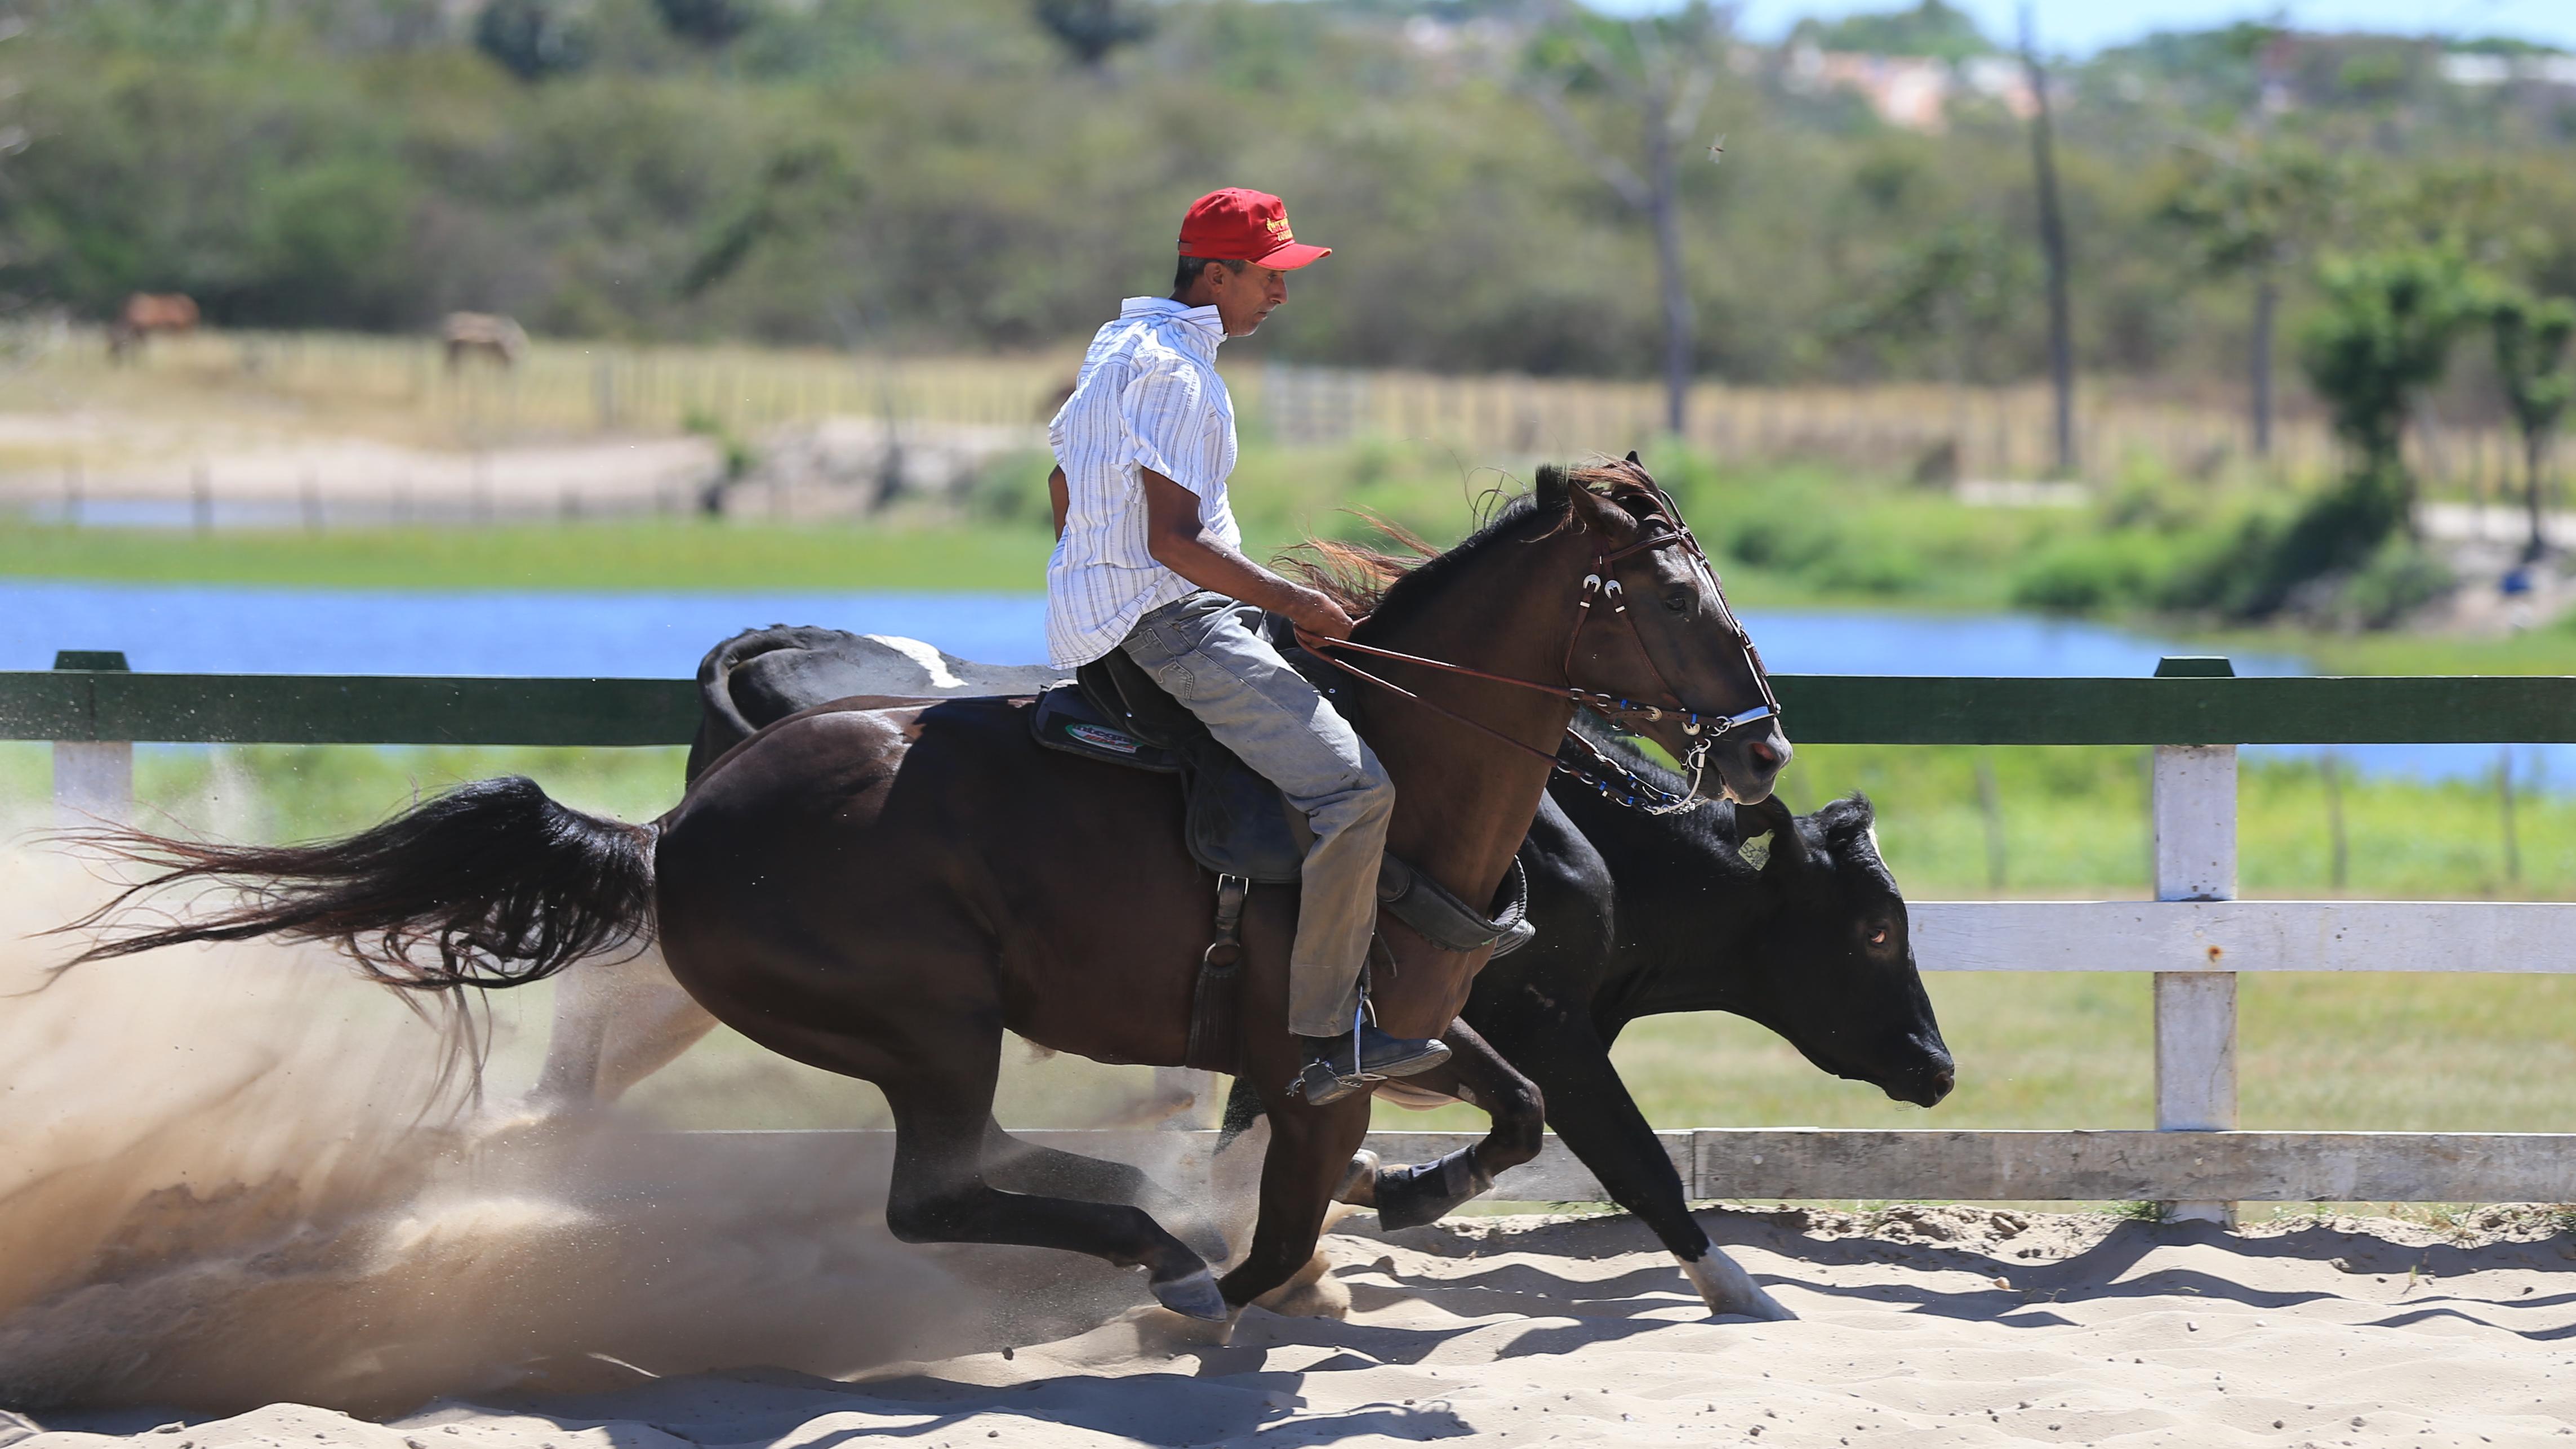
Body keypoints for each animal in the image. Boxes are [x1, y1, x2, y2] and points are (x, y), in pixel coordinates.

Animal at [65, 458, 1792, 1317]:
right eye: (1663, 595)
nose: (1765, 742)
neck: (1399, 773)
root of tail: (675, 837)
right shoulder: (1315, 1055)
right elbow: (1318, 1191)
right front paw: (1260, 1269)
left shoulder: (1397, 1032)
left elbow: (1509, 1110)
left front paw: (1399, 1202)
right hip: (925, 1018)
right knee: (935, 1186)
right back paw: (1156, 1249)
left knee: (971, 1171)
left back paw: (1143, 1213)